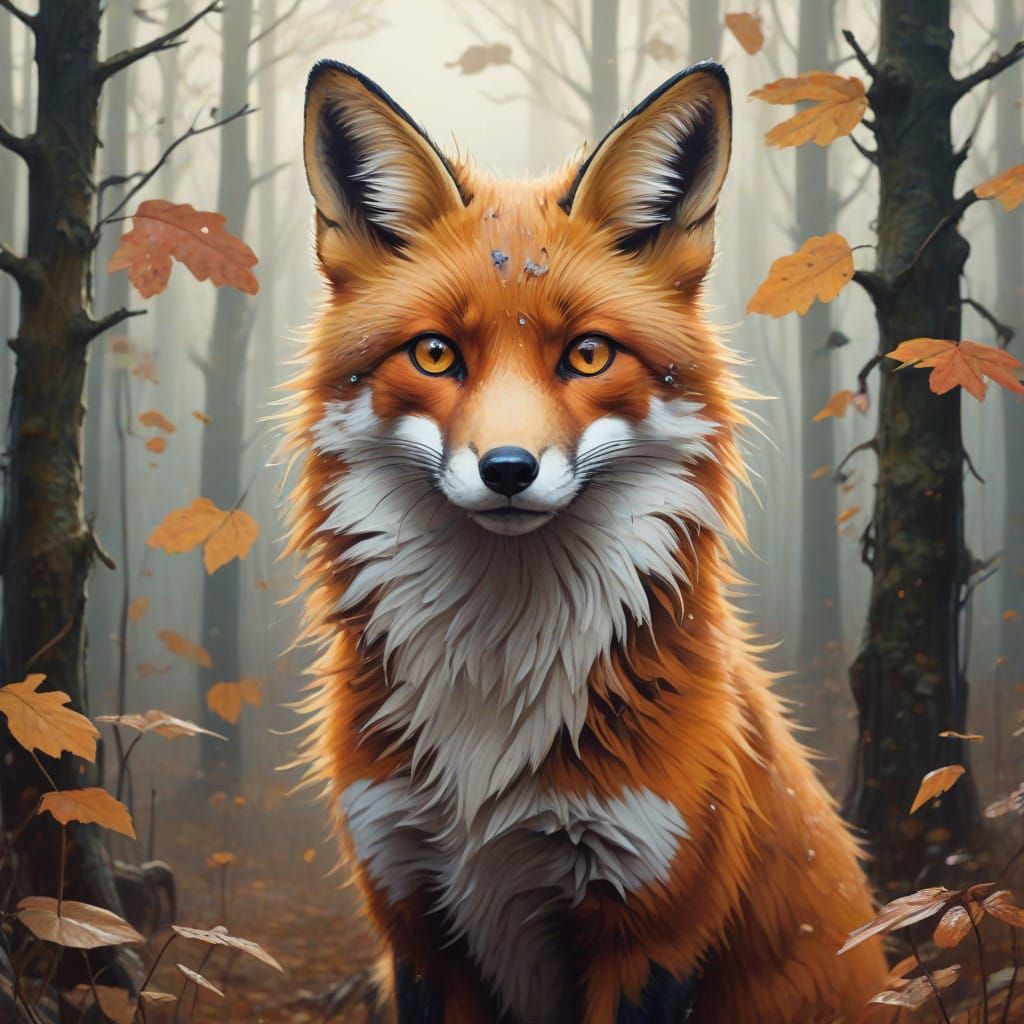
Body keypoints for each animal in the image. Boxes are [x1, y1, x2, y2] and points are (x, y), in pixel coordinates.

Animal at [285, 59, 889, 1024]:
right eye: (435, 354)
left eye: (589, 355)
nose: (507, 469)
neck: (495, 692)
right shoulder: (414, 922)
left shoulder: (650, 928)